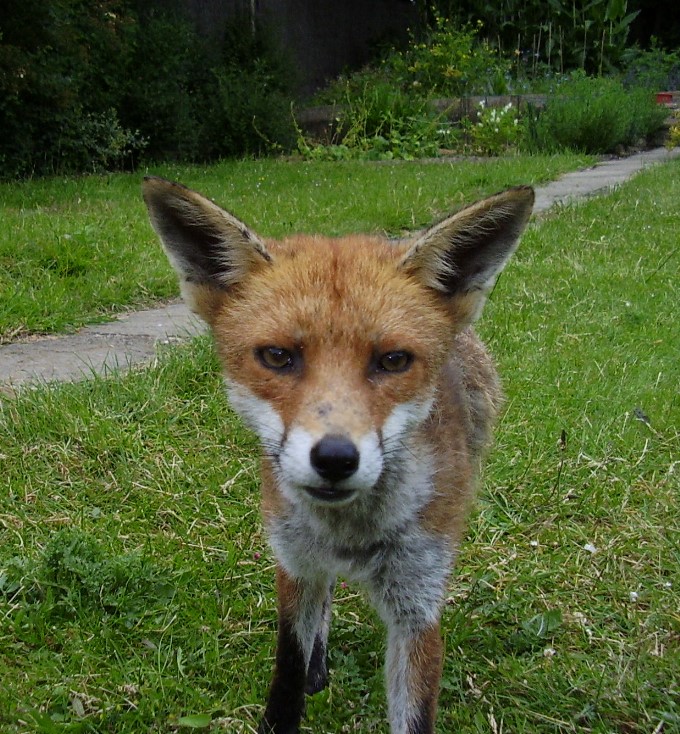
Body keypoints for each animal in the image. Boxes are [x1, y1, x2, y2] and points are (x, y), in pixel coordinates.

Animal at [142, 178, 536, 734]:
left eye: (393, 360)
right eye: (277, 356)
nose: (334, 458)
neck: (349, 538)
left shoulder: (418, 607)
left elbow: (413, 714)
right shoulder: (294, 565)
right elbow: (287, 679)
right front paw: (300, 682)